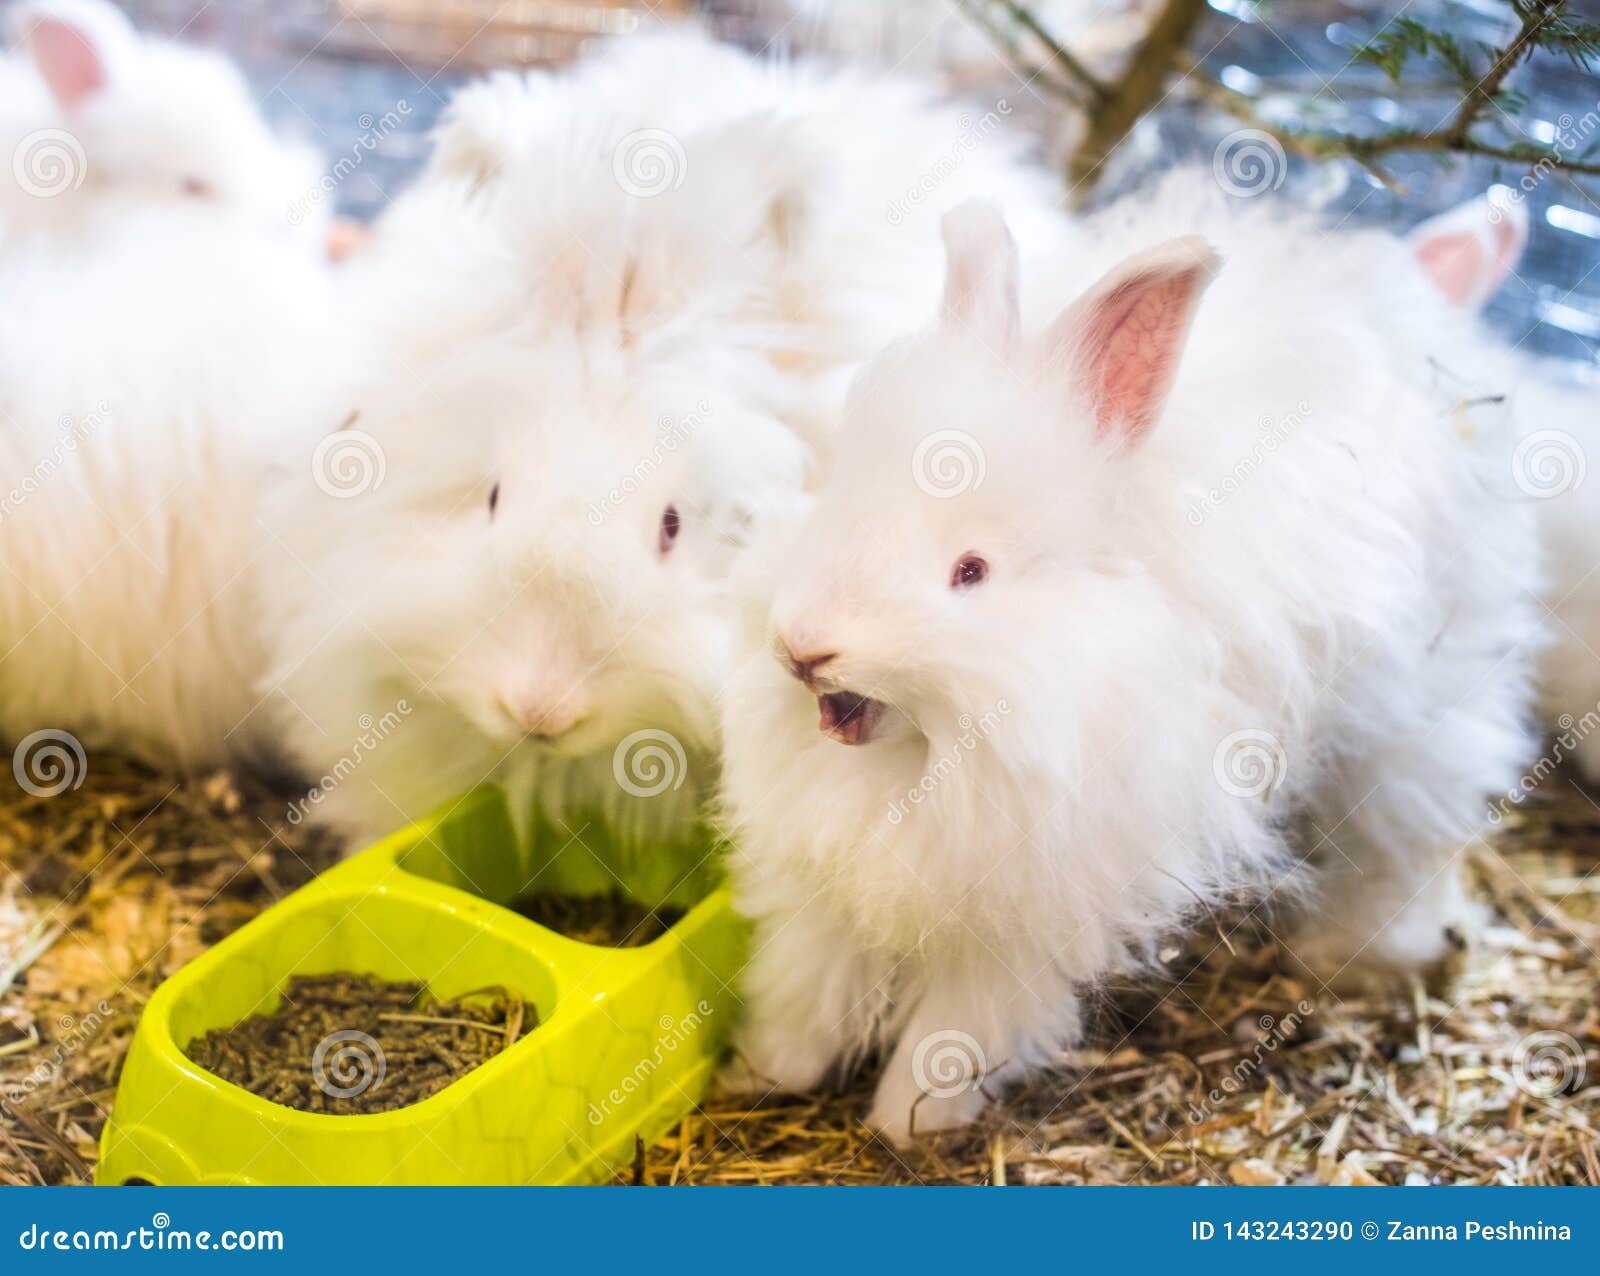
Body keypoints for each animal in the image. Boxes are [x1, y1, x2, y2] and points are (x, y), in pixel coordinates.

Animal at [716, 178, 1544, 1145]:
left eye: (971, 571)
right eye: (835, 498)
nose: (803, 646)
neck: (923, 760)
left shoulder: (1029, 921)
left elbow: (958, 1026)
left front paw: (909, 1124)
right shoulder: (823, 895)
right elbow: (805, 988)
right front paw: (764, 1072)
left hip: (1417, 722)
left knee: (1406, 844)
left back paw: (1369, 954)